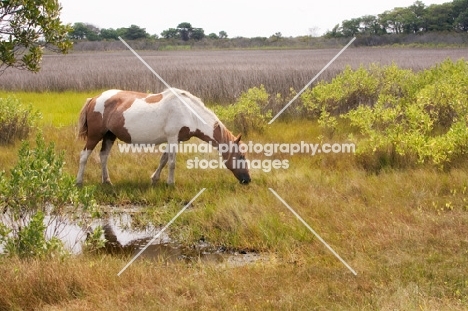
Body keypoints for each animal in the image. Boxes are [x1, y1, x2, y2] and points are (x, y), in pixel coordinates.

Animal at [76, 88, 252, 185]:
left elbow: (164, 159)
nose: (247, 180)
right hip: (95, 135)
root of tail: (94, 99)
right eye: (241, 156)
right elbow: (172, 162)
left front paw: (154, 179)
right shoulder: (173, 138)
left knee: (103, 156)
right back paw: (79, 182)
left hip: (109, 135)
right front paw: (170, 183)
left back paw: (107, 181)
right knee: (84, 156)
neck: (189, 112)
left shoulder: (175, 140)